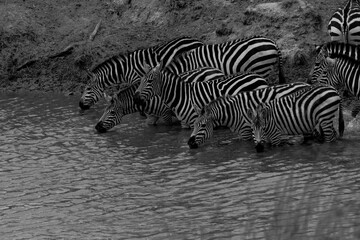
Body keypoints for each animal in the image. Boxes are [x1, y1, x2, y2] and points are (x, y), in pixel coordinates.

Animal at [94, 66, 226, 132]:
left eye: (111, 112)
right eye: (104, 111)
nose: (96, 127)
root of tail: (216, 70)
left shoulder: (166, 114)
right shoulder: (152, 116)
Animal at [134, 62, 268, 128]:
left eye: (150, 81)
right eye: (141, 81)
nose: (135, 98)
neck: (182, 96)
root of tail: (259, 77)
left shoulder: (195, 119)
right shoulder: (185, 124)